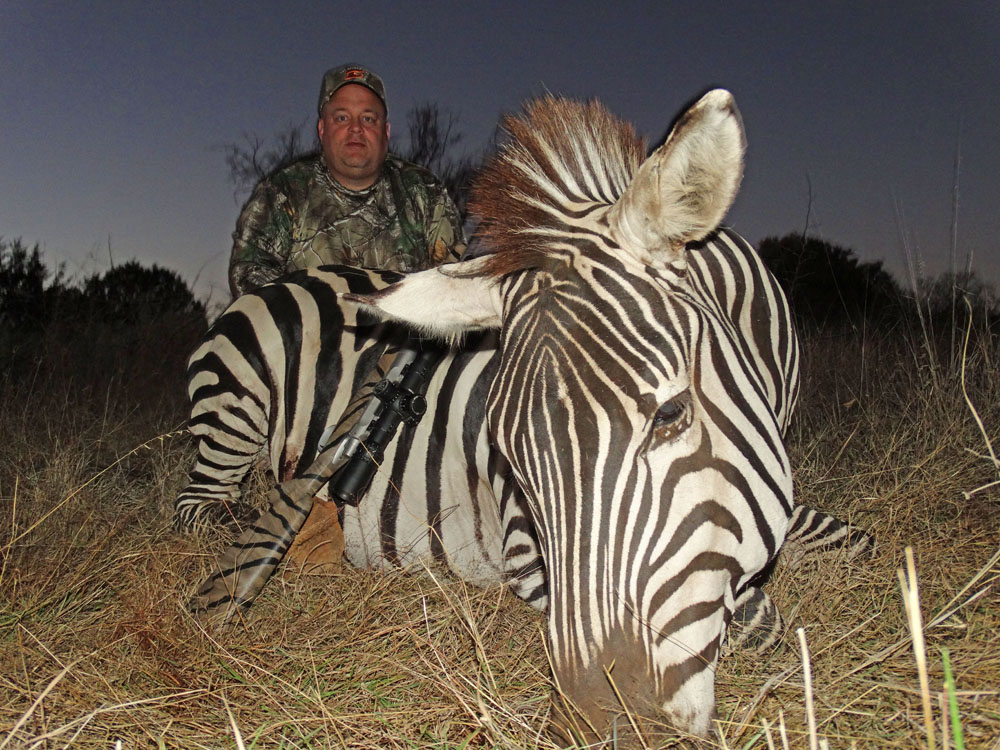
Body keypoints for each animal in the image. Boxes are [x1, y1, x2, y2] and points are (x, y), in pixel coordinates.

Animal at [180, 90, 869, 741]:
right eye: (509, 458)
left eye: (672, 413)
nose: (603, 724)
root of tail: (279, 284)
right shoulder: (523, 549)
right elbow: (760, 619)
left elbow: (853, 543)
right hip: (233, 414)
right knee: (201, 510)